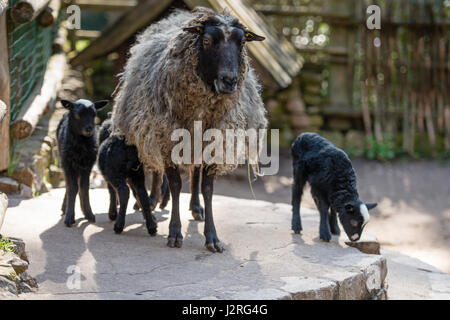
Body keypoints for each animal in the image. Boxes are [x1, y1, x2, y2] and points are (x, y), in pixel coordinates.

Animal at [112, 7, 268, 252]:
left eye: (242, 42)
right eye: (206, 41)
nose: (229, 81)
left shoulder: (214, 145)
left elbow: (207, 189)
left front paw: (212, 237)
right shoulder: (166, 141)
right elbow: (175, 185)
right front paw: (175, 233)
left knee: (195, 174)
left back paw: (195, 207)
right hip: (151, 130)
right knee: (156, 168)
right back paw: (154, 198)